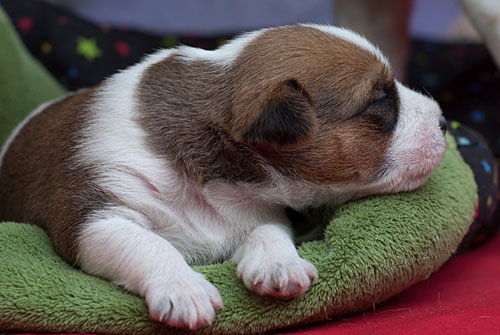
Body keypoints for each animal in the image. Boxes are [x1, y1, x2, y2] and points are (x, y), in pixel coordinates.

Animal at [0, 24, 446, 330]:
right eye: (380, 101)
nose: (444, 121)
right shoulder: (94, 214)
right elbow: (146, 243)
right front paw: (184, 288)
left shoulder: (259, 211)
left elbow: (269, 232)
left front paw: (279, 264)